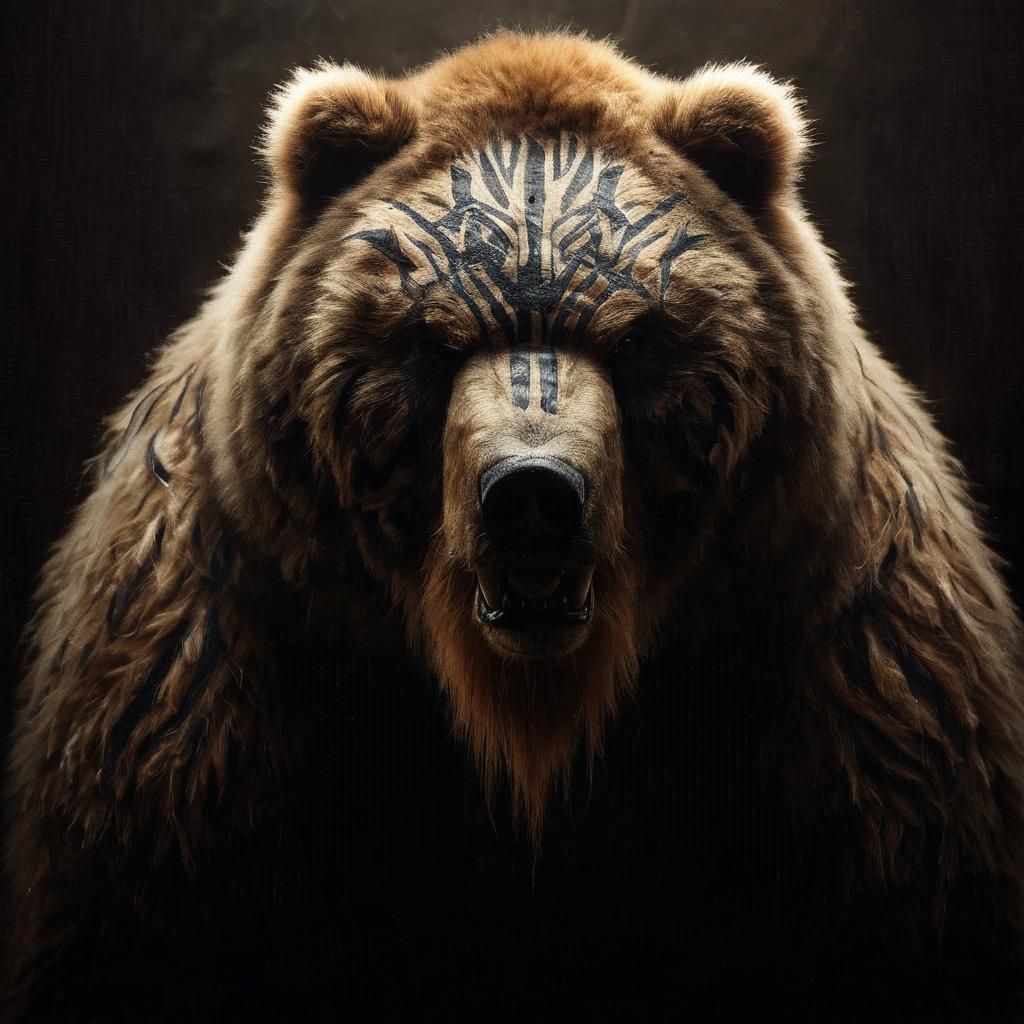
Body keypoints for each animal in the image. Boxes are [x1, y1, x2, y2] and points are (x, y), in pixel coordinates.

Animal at [4, 29, 1023, 1020]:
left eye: (638, 338)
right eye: (429, 338)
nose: (534, 494)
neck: (531, 720)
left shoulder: (851, 653)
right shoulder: (203, 663)